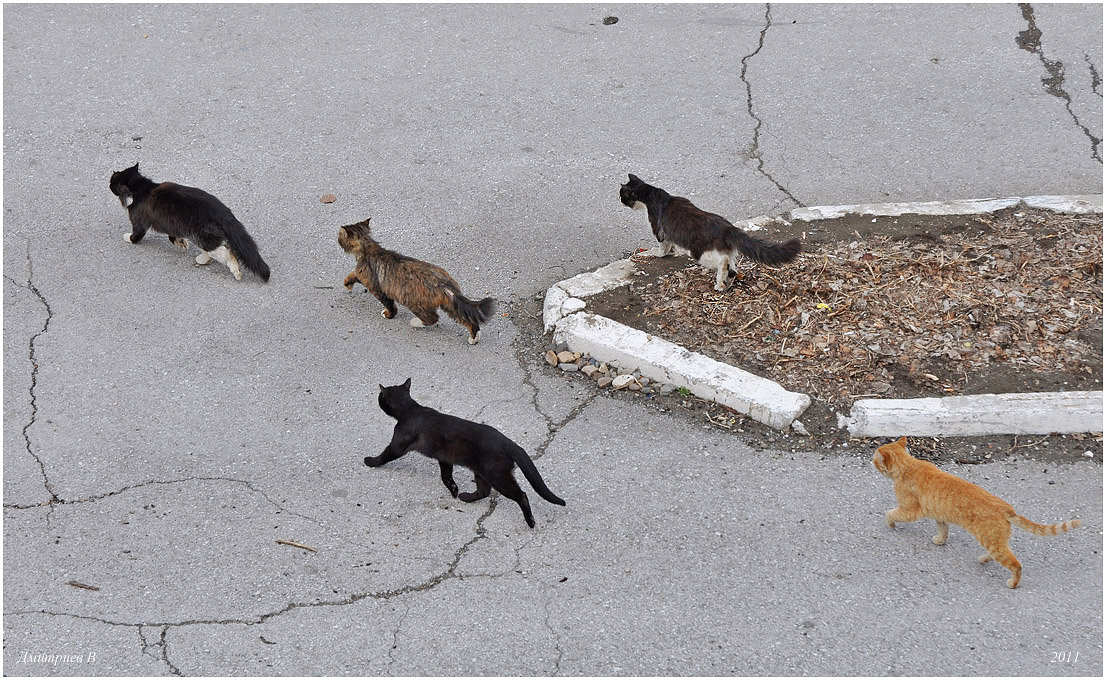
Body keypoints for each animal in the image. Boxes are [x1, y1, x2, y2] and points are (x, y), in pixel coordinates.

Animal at [107, 162, 270, 282]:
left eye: (113, 181)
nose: (108, 184)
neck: (143, 188)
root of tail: (224, 213)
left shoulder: (139, 221)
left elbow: (136, 235)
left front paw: (128, 238)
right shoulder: (171, 224)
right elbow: (172, 236)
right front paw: (181, 243)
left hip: (202, 237)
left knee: (226, 252)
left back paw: (234, 271)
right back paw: (202, 259)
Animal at [336, 220, 493, 345]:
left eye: (339, 236)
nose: (337, 239)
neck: (368, 248)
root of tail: (443, 284)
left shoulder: (377, 288)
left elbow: (390, 306)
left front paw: (388, 315)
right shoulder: (361, 274)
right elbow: (351, 275)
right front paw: (347, 284)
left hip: (414, 302)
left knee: (433, 318)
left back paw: (415, 323)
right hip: (449, 304)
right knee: (466, 320)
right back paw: (474, 338)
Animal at [367, 378, 566, 527]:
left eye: (380, 396)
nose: (377, 398)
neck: (410, 410)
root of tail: (510, 443)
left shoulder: (397, 446)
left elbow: (384, 456)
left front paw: (369, 461)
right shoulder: (444, 458)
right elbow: (445, 476)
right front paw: (454, 490)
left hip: (497, 476)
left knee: (521, 495)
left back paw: (530, 521)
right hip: (480, 472)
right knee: (484, 491)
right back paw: (465, 497)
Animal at [619, 172, 801, 290]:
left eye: (622, 194)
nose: (619, 199)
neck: (651, 194)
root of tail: (728, 227)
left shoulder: (658, 229)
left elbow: (662, 246)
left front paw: (659, 254)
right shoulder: (668, 233)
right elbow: (671, 245)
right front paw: (673, 251)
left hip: (700, 252)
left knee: (723, 263)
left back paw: (719, 283)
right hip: (727, 252)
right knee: (732, 269)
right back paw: (724, 285)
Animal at [872, 440, 1080, 589]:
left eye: (875, 459)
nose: (871, 462)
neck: (908, 465)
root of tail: (1007, 508)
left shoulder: (910, 511)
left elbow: (890, 513)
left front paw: (890, 523)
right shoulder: (939, 515)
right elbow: (943, 530)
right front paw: (940, 540)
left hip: (992, 541)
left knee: (1015, 564)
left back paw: (1012, 583)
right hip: (994, 540)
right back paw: (983, 559)